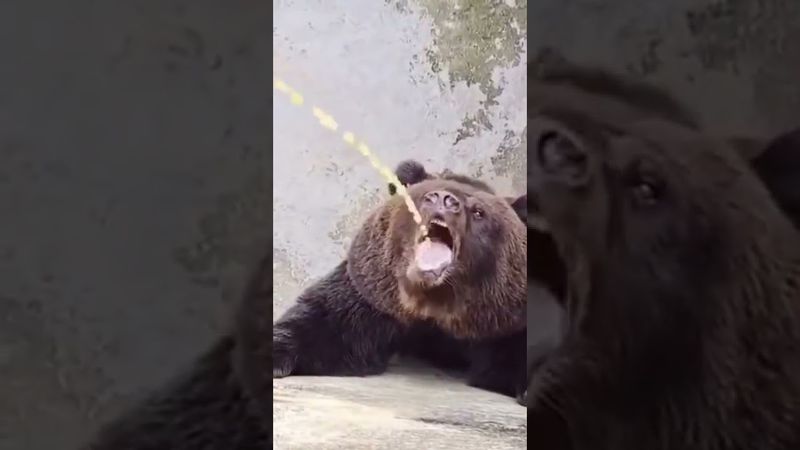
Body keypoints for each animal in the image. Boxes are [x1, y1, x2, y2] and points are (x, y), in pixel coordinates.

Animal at [272, 159, 529, 399]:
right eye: (426, 195)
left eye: (478, 211)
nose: (443, 200)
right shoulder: (375, 297)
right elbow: (326, 324)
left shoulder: (504, 320)